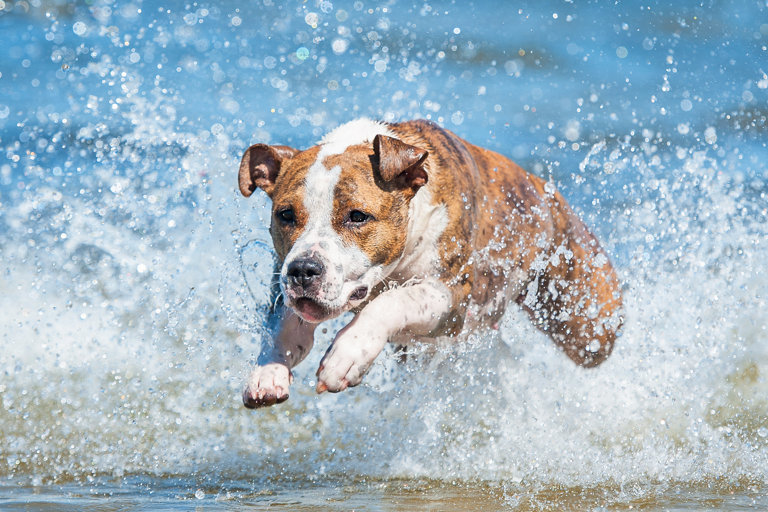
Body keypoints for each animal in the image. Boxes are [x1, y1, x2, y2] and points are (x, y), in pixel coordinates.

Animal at [238, 117, 624, 408]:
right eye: (285, 215)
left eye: (357, 216)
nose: (304, 270)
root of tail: (544, 188)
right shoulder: (282, 281)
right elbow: (281, 326)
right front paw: (267, 371)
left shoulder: (450, 298)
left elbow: (390, 303)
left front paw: (347, 354)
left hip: (588, 322)